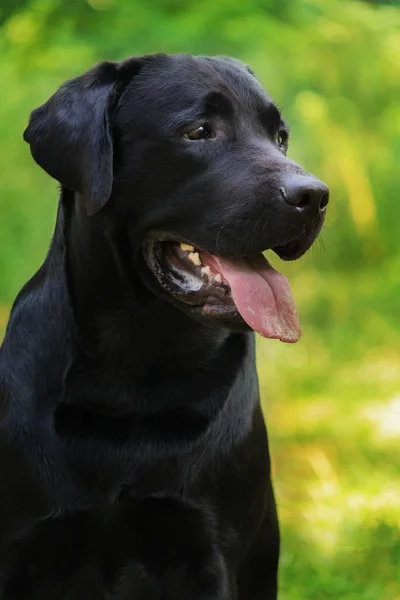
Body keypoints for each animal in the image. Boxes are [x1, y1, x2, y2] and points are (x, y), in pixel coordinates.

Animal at [0, 54, 328, 596]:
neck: (137, 370)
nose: (315, 196)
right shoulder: (25, 546)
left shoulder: (210, 554)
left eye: (279, 137)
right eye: (198, 131)